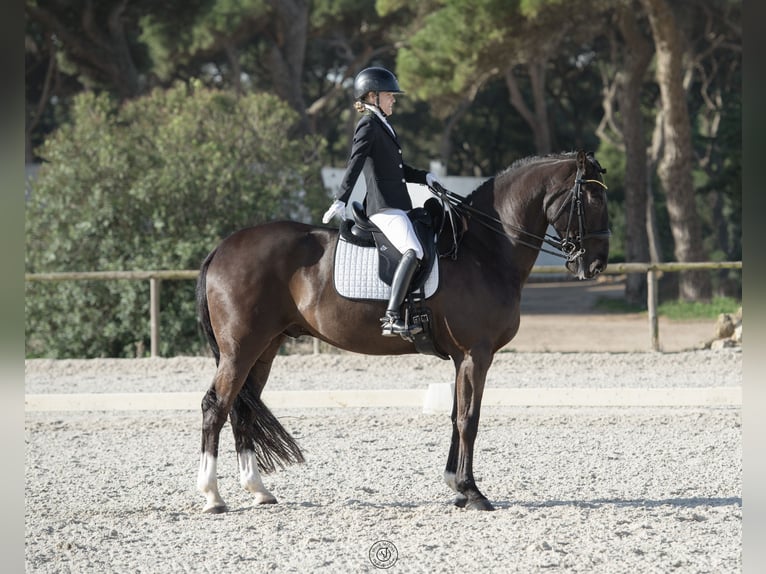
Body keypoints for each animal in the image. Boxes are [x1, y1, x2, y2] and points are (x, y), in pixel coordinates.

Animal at [195, 150, 610, 513]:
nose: (597, 264)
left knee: (242, 410)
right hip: (240, 350)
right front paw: (472, 492)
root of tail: (222, 247)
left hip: (265, 348)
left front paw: (456, 487)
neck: (484, 248)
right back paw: (213, 496)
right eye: (591, 197)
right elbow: (469, 419)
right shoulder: (476, 353)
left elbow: (455, 416)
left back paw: (258, 490)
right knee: (217, 406)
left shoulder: (461, 357)